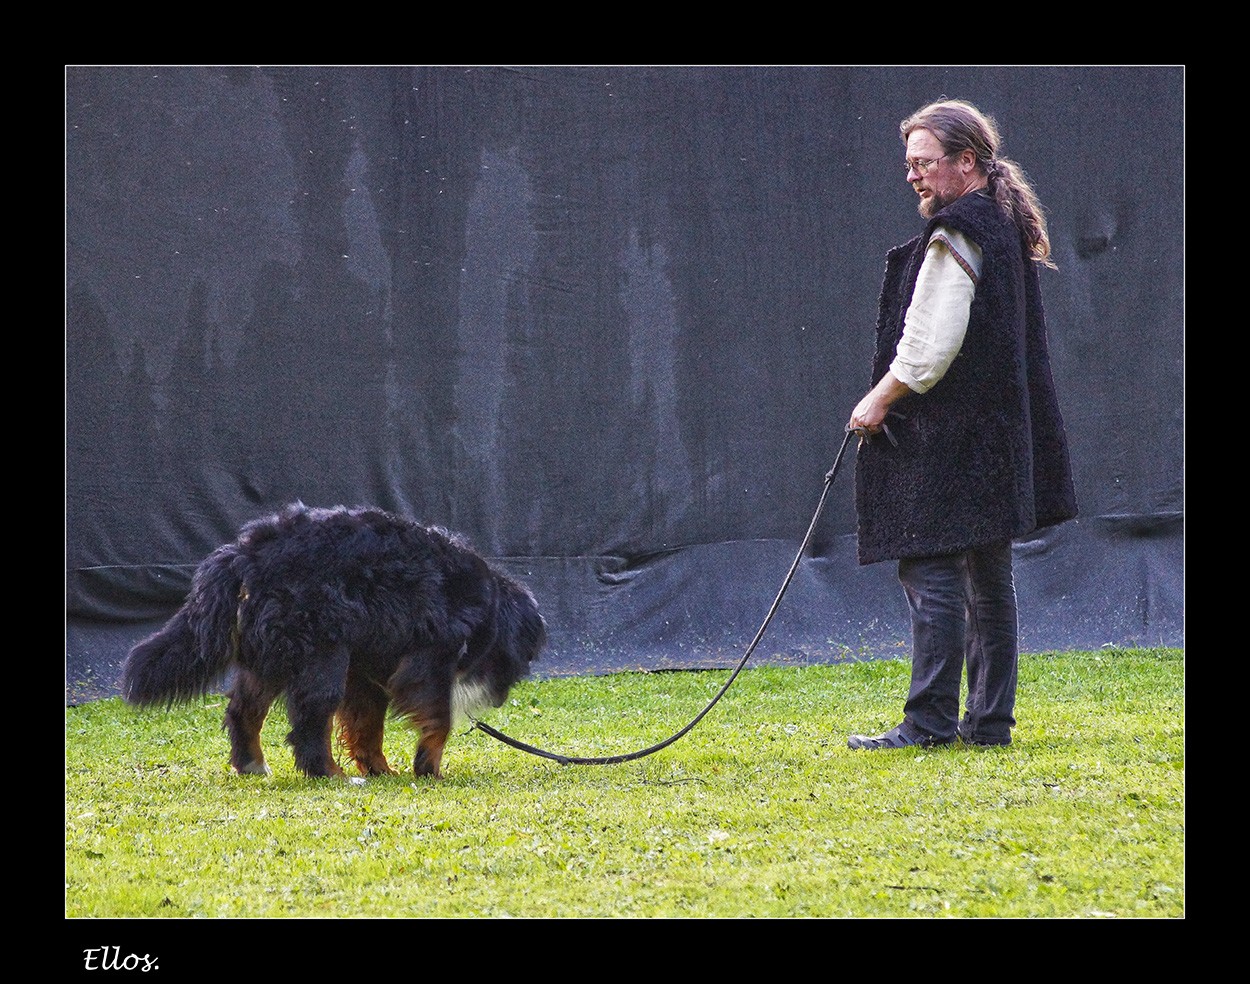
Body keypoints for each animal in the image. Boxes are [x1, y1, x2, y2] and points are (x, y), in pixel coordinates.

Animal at [119, 505, 545, 780]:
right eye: (515, 663)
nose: (499, 700)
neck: (486, 604)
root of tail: (245, 552)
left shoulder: (365, 669)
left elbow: (367, 723)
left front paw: (379, 768)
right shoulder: (429, 660)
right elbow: (438, 718)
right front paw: (428, 766)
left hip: (272, 654)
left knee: (244, 710)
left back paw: (253, 764)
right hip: (320, 652)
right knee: (311, 716)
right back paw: (328, 772)